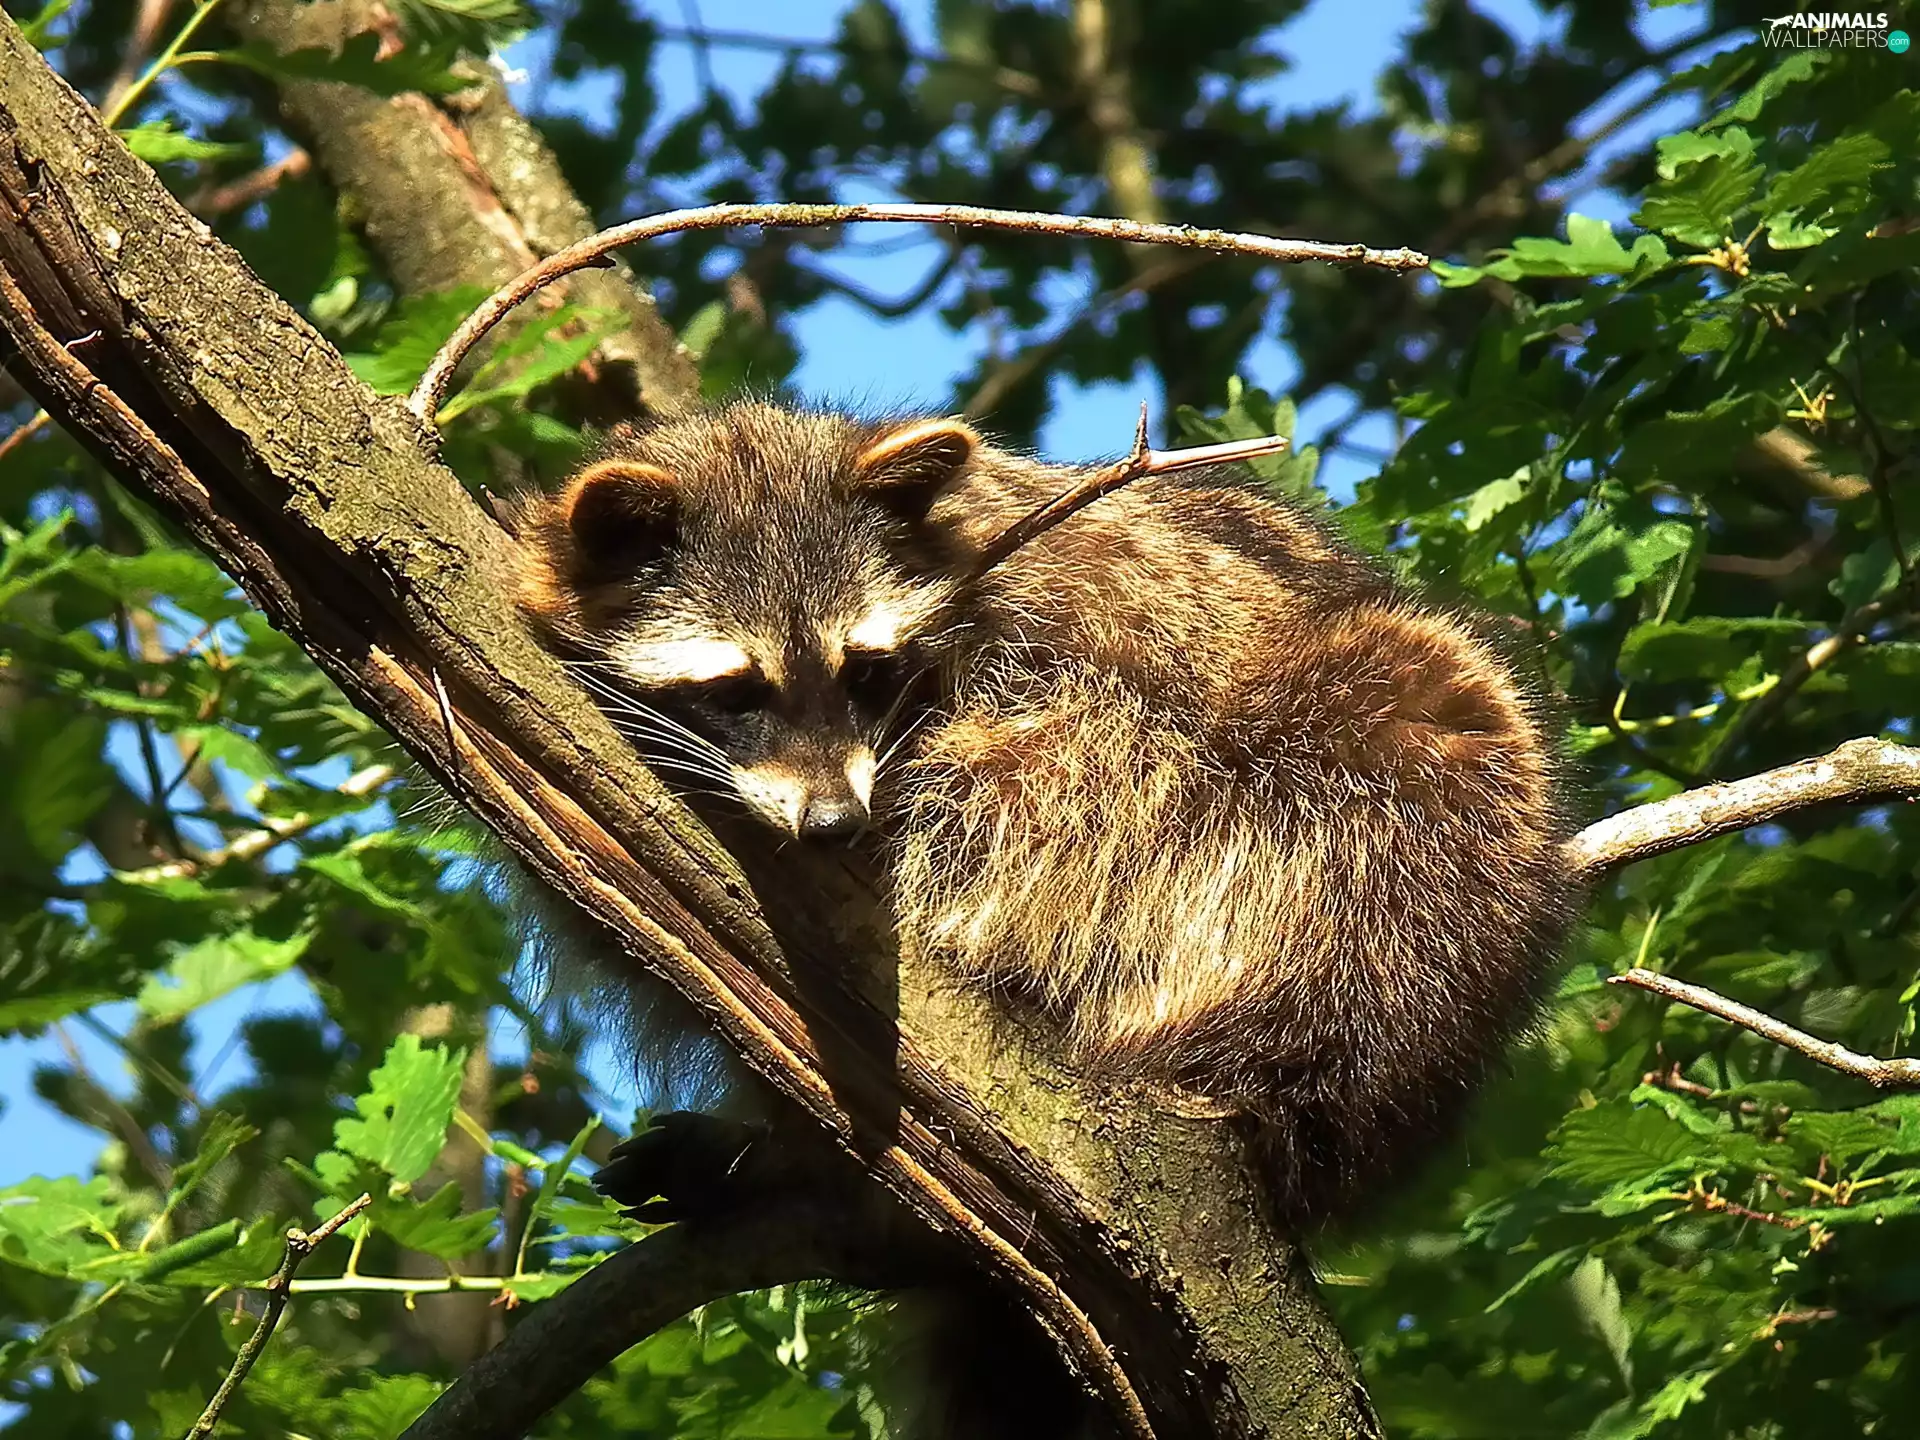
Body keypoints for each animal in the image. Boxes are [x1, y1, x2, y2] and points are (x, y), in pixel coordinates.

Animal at [508, 398, 1576, 1429]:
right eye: (736, 690)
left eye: (864, 672)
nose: (835, 821)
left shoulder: (1084, 620)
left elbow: (1053, 769)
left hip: (1389, 843)